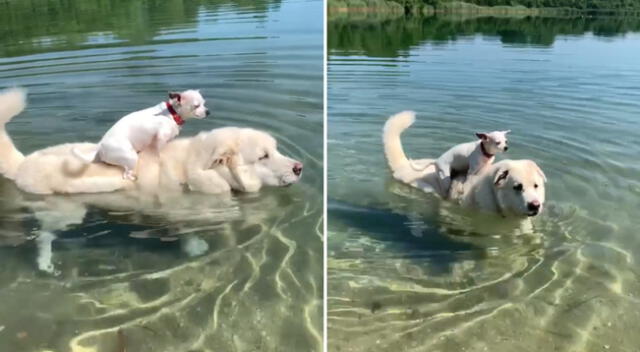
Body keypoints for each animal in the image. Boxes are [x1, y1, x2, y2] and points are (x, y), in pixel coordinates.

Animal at [74, 89, 210, 180]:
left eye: (204, 103)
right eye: (196, 106)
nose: (208, 111)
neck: (172, 113)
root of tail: (101, 145)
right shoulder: (160, 139)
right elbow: (159, 154)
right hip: (130, 156)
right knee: (126, 174)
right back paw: (133, 177)